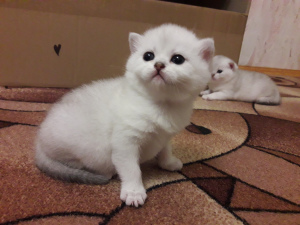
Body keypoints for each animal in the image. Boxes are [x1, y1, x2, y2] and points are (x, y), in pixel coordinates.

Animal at [34, 23, 213, 207]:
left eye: (178, 59)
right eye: (148, 56)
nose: (158, 65)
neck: (161, 105)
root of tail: (38, 142)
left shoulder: (165, 136)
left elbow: (165, 150)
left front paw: (168, 162)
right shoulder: (125, 142)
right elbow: (131, 169)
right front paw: (134, 192)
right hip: (88, 150)